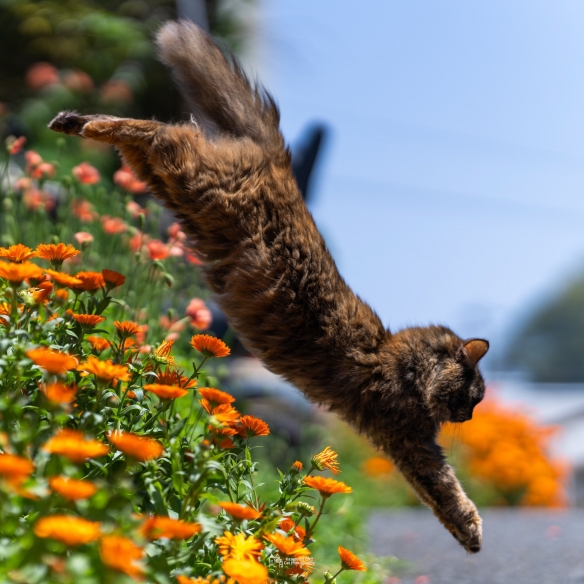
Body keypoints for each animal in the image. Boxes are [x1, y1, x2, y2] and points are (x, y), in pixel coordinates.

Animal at [49, 19, 488, 552]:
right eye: (473, 396)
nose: (469, 419)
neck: (401, 363)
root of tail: (278, 158)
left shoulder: (402, 439)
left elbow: (439, 496)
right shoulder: (409, 439)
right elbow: (447, 492)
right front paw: (472, 531)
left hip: (167, 177)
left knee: (153, 132)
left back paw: (75, 122)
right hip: (188, 166)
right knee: (156, 127)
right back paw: (75, 121)